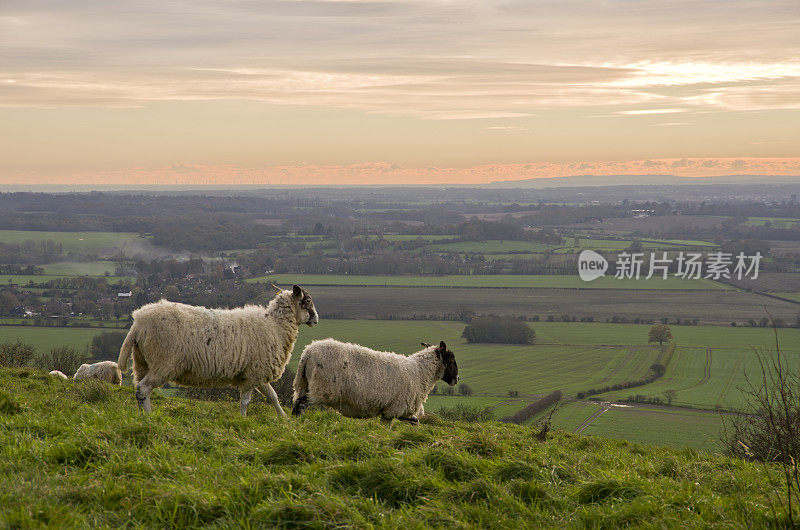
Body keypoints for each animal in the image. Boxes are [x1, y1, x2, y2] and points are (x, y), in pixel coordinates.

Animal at [117, 282, 318, 414]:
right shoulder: (254, 373)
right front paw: (242, 419)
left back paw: (142, 414)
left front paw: (284, 418)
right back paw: (149, 416)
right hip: (163, 362)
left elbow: (273, 396)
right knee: (143, 389)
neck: (275, 326)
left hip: (142, 361)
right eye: (307, 300)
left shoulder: (256, 373)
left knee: (140, 390)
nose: (316, 319)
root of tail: (138, 322)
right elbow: (246, 401)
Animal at [292, 338, 456, 420]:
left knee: (297, 402)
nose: (457, 378)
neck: (420, 372)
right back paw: (297, 423)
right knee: (301, 403)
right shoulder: (394, 408)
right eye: (452, 359)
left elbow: (411, 420)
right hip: (321, 388)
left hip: (306, 383)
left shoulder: (394, 409)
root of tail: (308, 352)